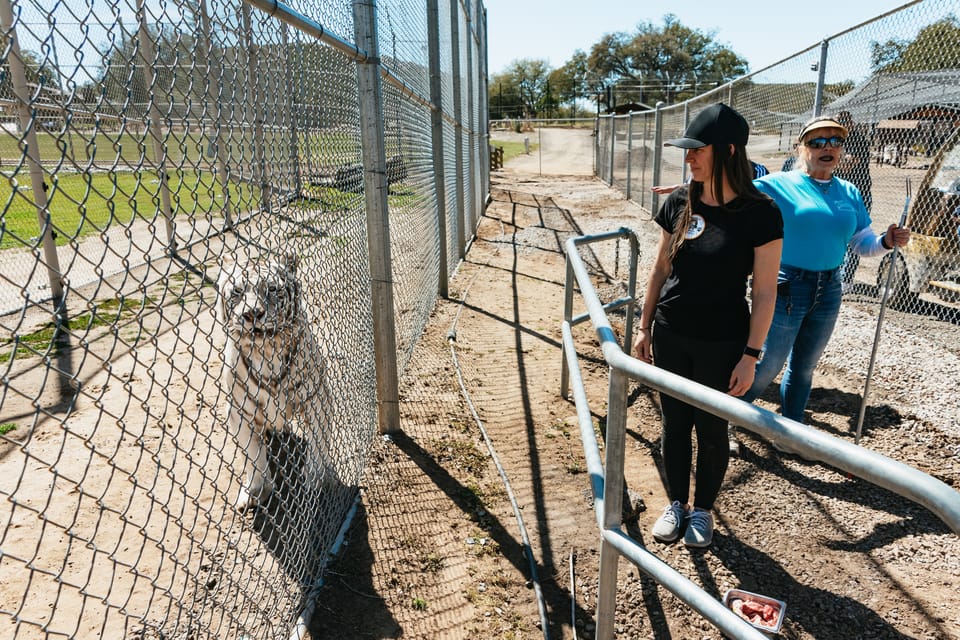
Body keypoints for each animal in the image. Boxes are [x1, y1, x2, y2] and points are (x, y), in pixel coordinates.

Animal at [217, 250, 330, 510]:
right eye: (237, 291)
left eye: (271, 288)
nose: (252, 314)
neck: (266, 351)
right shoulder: (239, 412)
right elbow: (253, 456)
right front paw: (255, 492)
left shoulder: (316, 398)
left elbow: (318, 444)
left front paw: (315, 480)